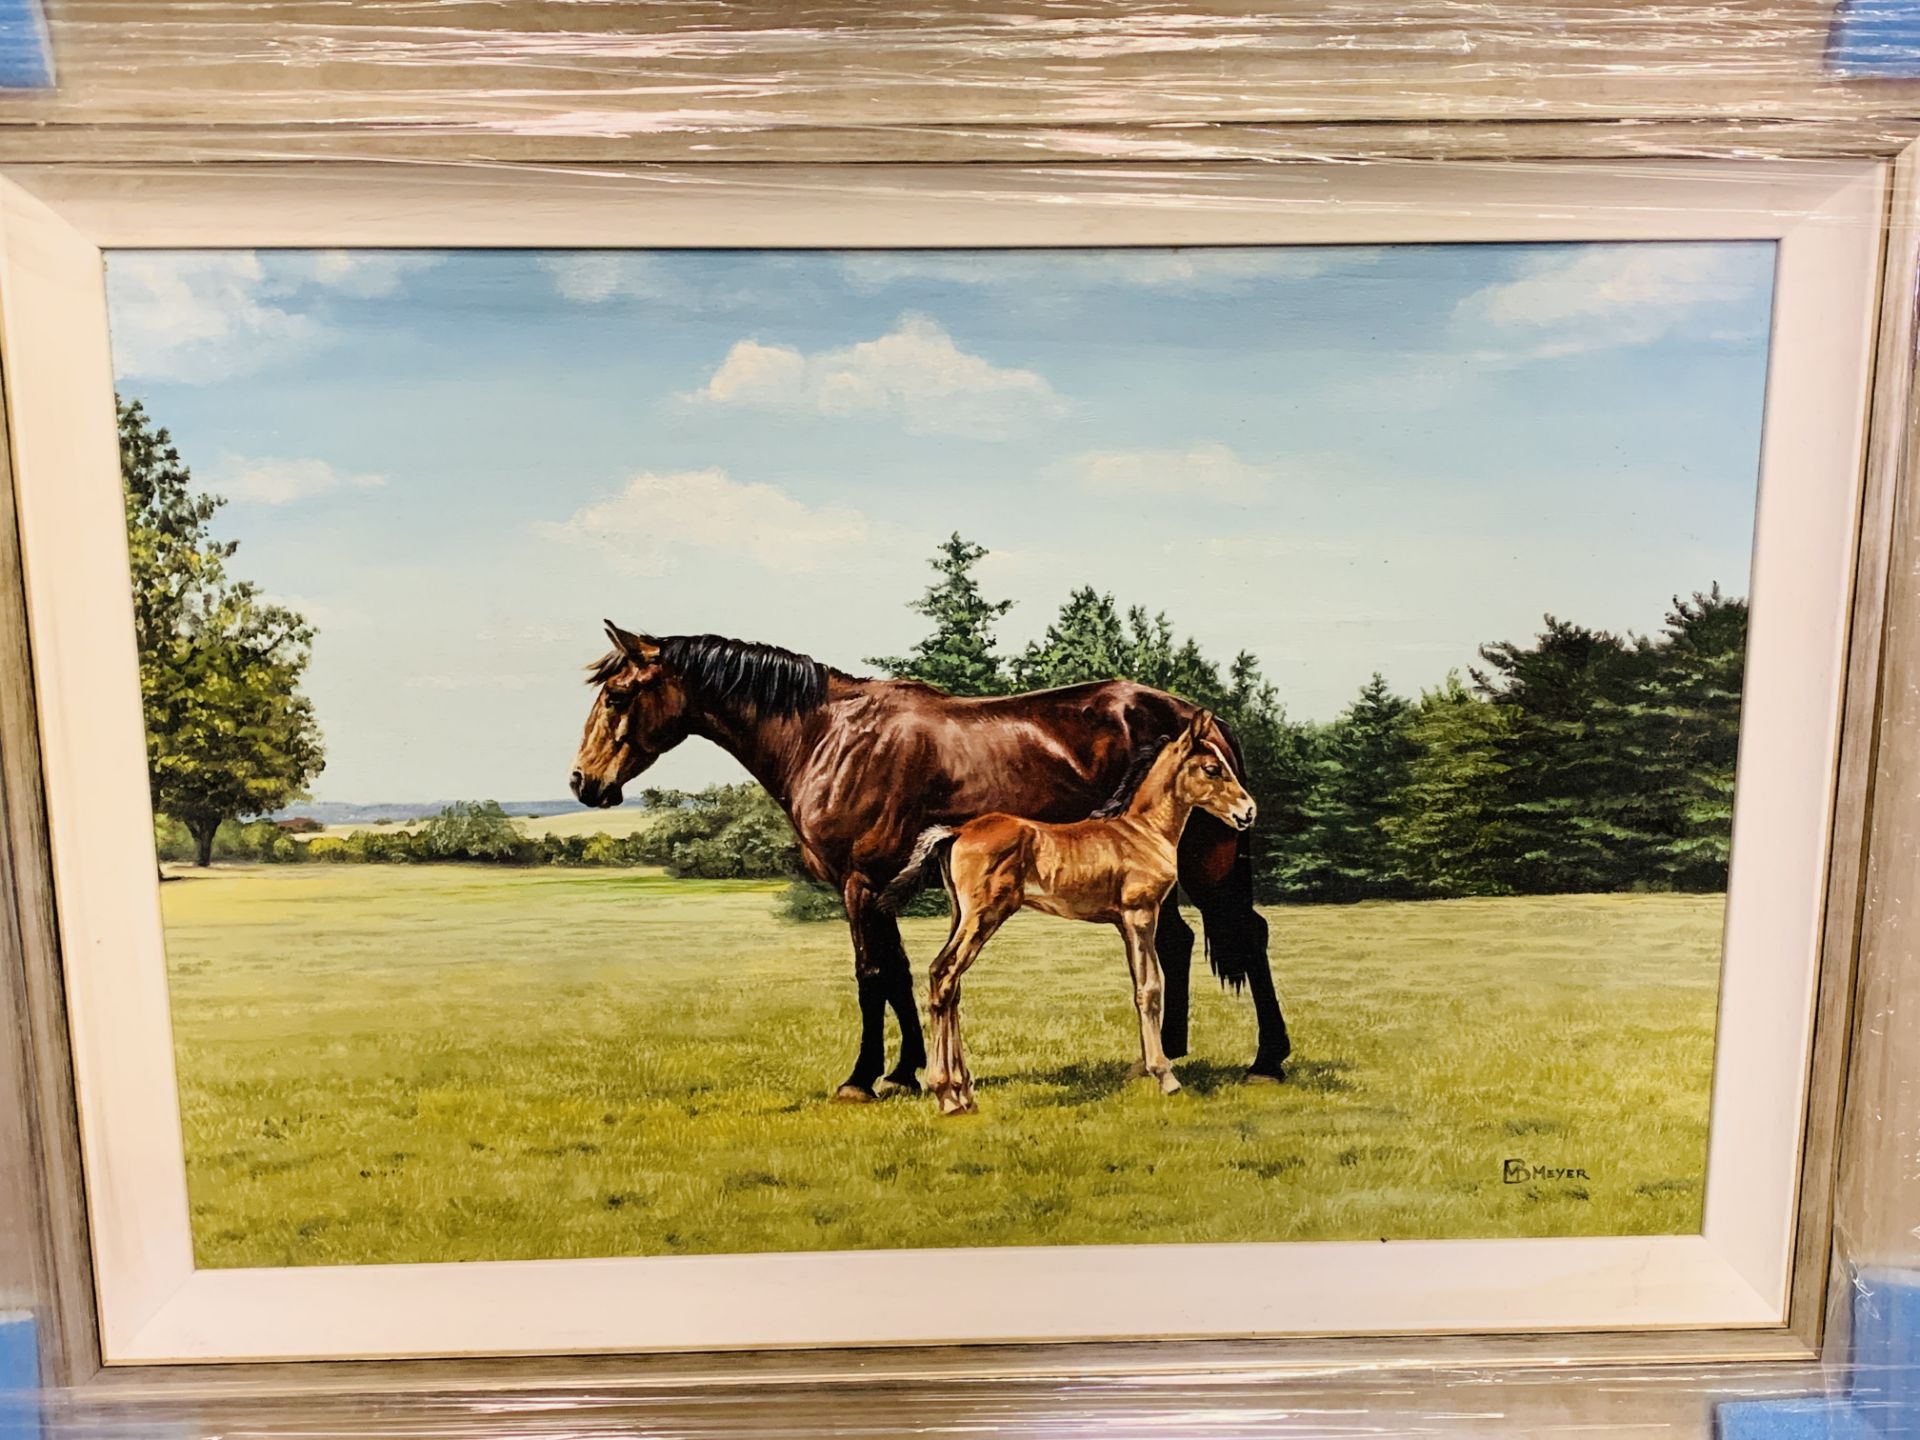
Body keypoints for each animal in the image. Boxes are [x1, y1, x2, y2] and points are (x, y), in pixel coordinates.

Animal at [887, 718, 1251, 1121]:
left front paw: (1146, 1070)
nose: (1248, 812)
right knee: (944, 974)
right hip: (984, 916)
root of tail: (958, 831)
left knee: (950, 985)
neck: (1143, 831)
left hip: (961, 916)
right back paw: (947, 1095)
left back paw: (963, 1092)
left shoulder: (1124, 923)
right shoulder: (1141, 914)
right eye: (1212, 768)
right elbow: (1150, 988)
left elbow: (1139, 986)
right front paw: (1165, 1076)